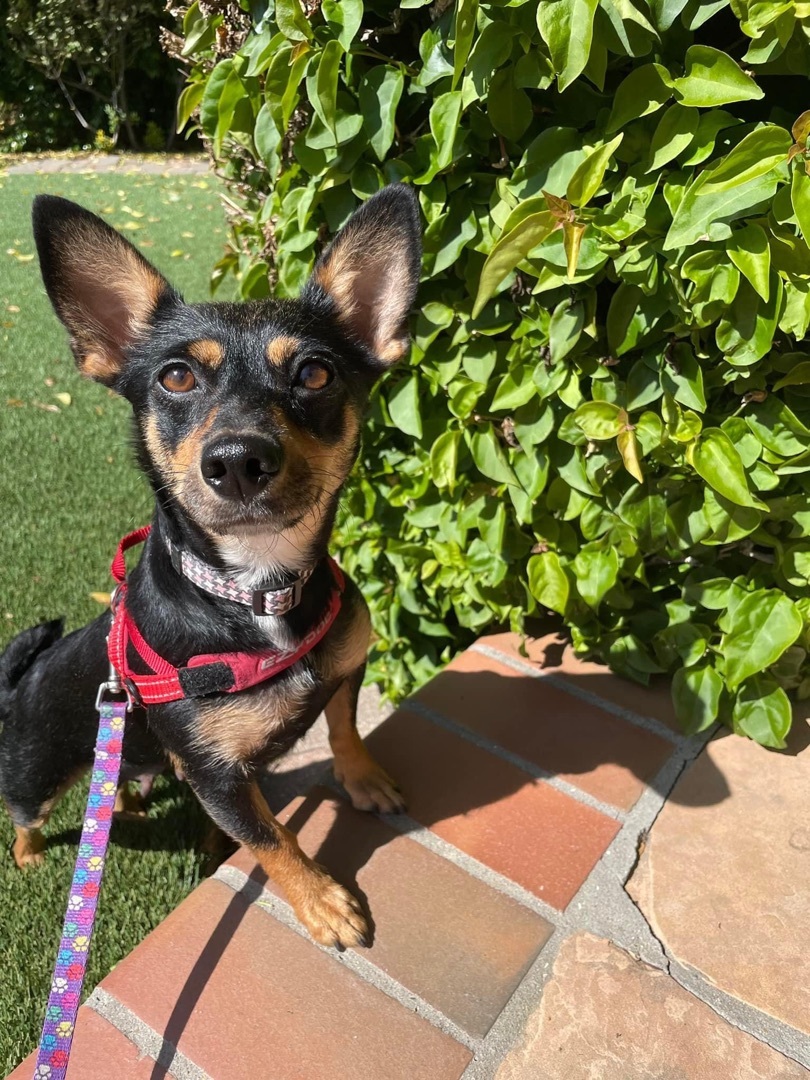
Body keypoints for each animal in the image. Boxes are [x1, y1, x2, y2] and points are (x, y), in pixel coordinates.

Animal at [0, 183, 421, 946]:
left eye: (315, 372)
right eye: (176, 376)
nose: (237, 460)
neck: (257, 591)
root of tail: (20, 684)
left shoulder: (347, 665)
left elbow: (344, 724)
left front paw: (364, 778)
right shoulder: (216, 777)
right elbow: (273, 839)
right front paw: (323, 902)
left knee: (122, 780)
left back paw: (131, 805)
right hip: (32, 774)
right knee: (27, 817)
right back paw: (31, 857)